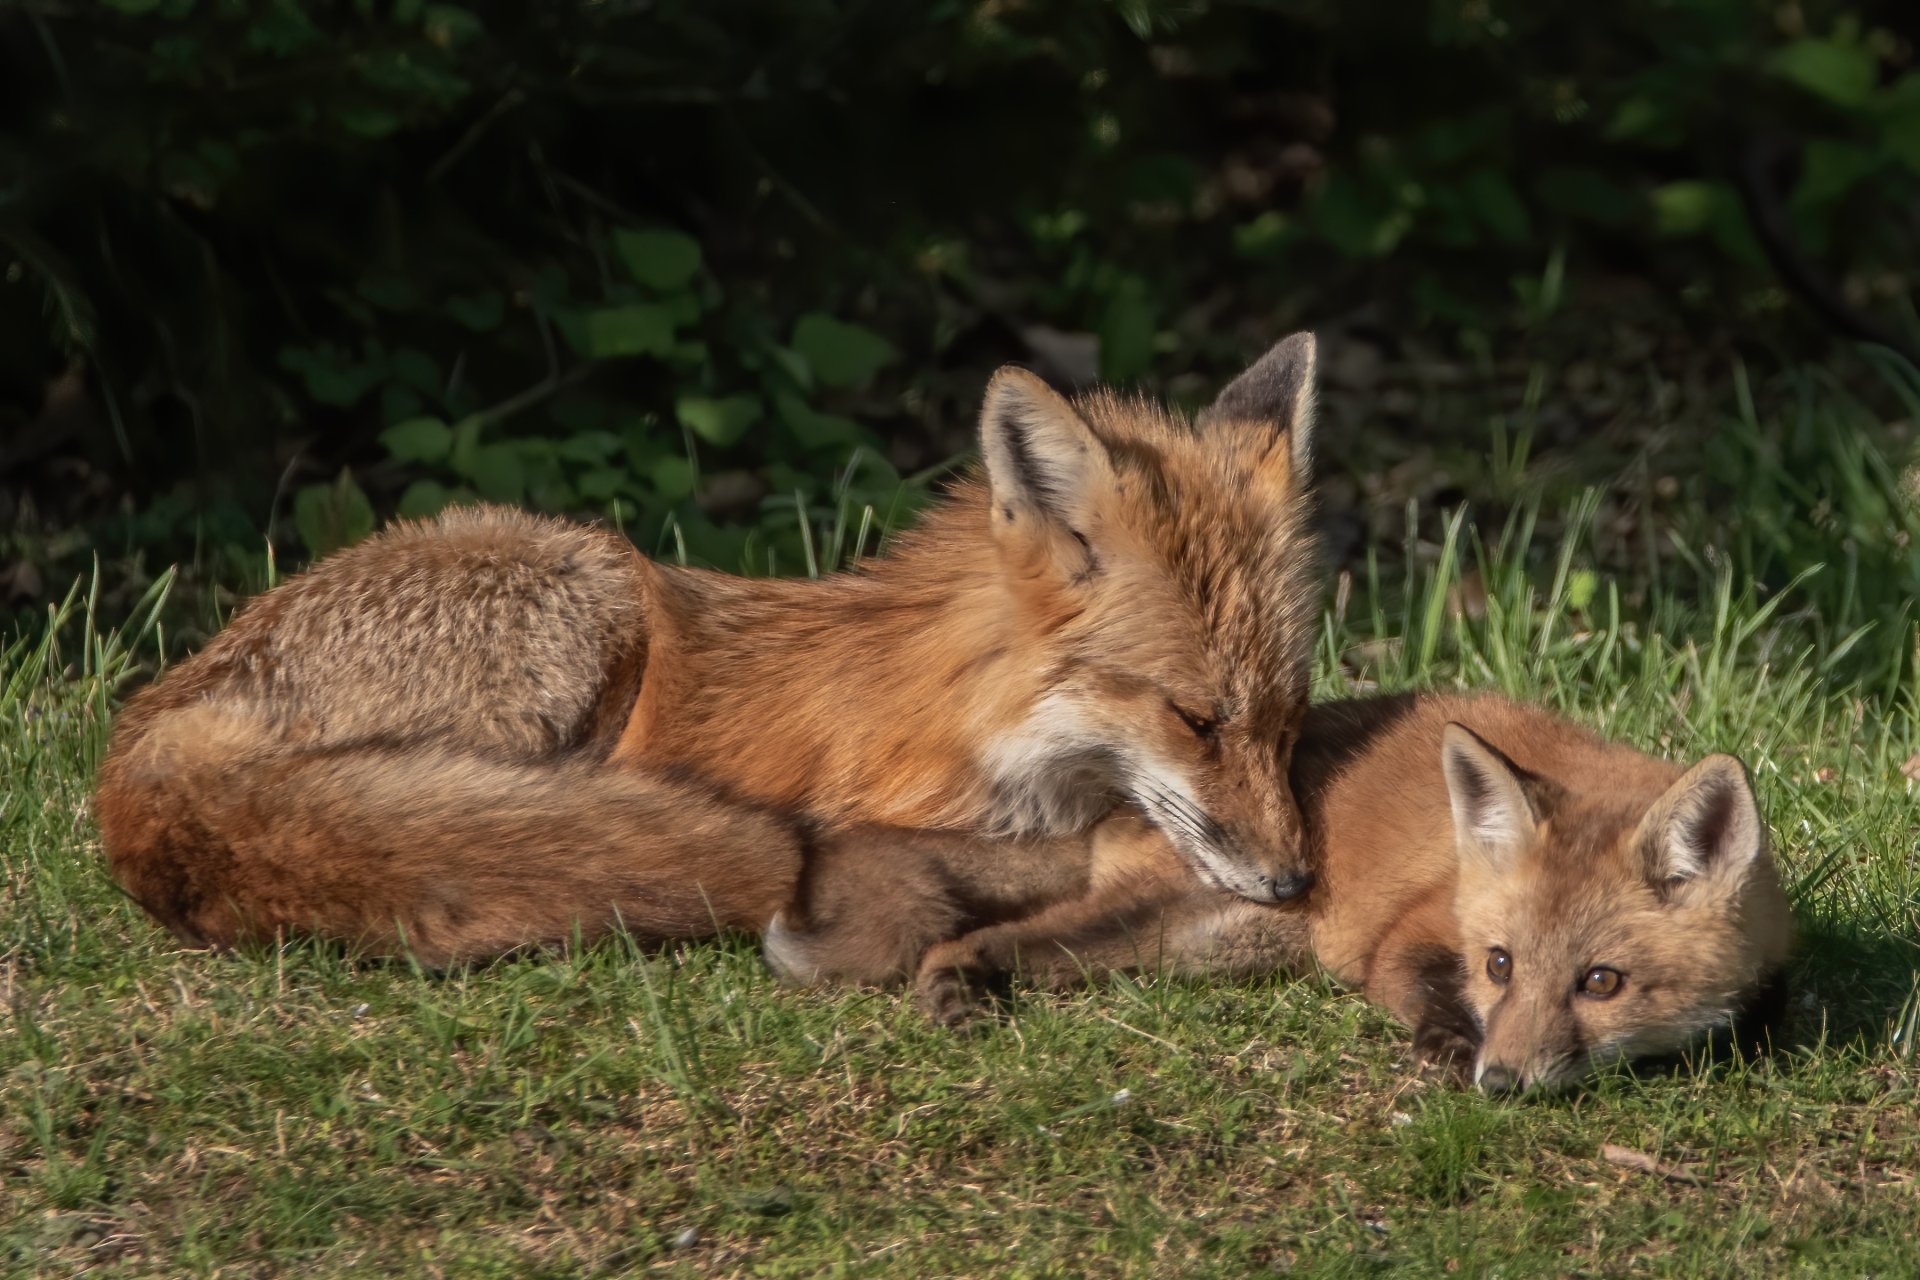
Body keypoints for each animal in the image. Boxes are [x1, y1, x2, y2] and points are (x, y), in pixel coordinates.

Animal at [95, 336, 1327, 964]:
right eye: (1194, 718)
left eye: (1287, 718)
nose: (1295, 880)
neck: (978, 724)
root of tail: (144, 747)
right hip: (580, 595)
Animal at [767, 691, 1796, 1092]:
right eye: (1499, 965)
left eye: (1601, 983)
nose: (1498, 1082)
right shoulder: (1408, 932)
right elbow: (1416, 987)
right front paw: (1446, 1045)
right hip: (1153, 924)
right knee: (958, 937)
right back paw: (949, 982)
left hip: (1185, 948)